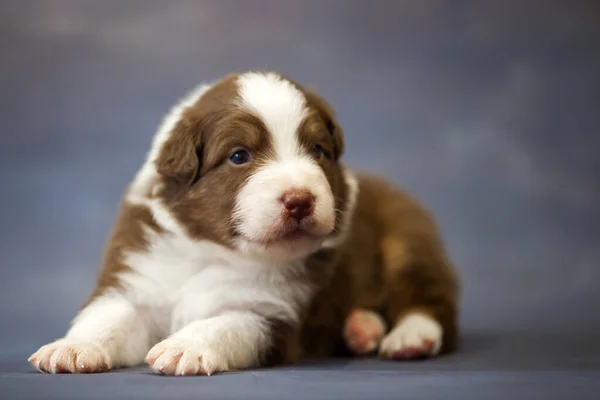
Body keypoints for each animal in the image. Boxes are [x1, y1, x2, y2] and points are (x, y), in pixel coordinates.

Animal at [28, 71, 460, 376]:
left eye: (318, 150)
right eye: (239, 156)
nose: (300, 199)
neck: (212, 253)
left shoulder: (270, 311)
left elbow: (225, 324)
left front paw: (184, 346)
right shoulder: (138, 277)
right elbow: (109, 316)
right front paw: (72, 348)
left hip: (406, 240)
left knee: (431, 301)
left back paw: (410, 336)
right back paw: (361, 329)